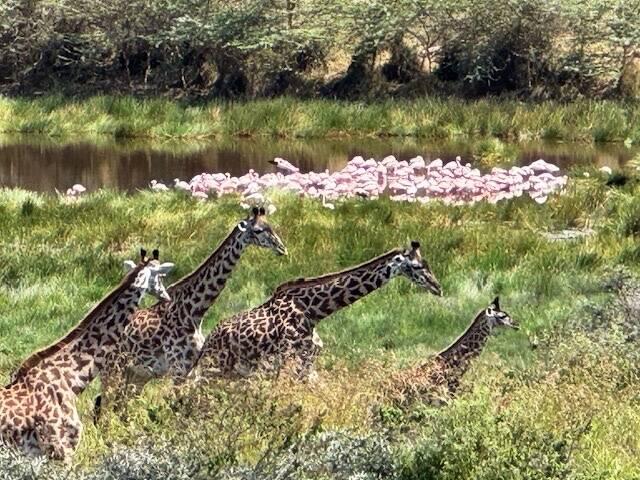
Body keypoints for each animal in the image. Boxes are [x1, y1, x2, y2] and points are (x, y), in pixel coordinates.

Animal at [94, 207, 287, 419]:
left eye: (271, 226)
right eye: (259, 230)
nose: (282, 248)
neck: (194, 311)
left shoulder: (191, 370)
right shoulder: (178, 369)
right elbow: (176, 407)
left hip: (136, 374)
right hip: (112, 371)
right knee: (104, 410)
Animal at [195, 241, 442, 380]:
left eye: (428, 264)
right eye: (417, 266)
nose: (438, 287)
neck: (314, 312)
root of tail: (207, 341)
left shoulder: (307, 365)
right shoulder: (287, 363)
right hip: (214, 368)